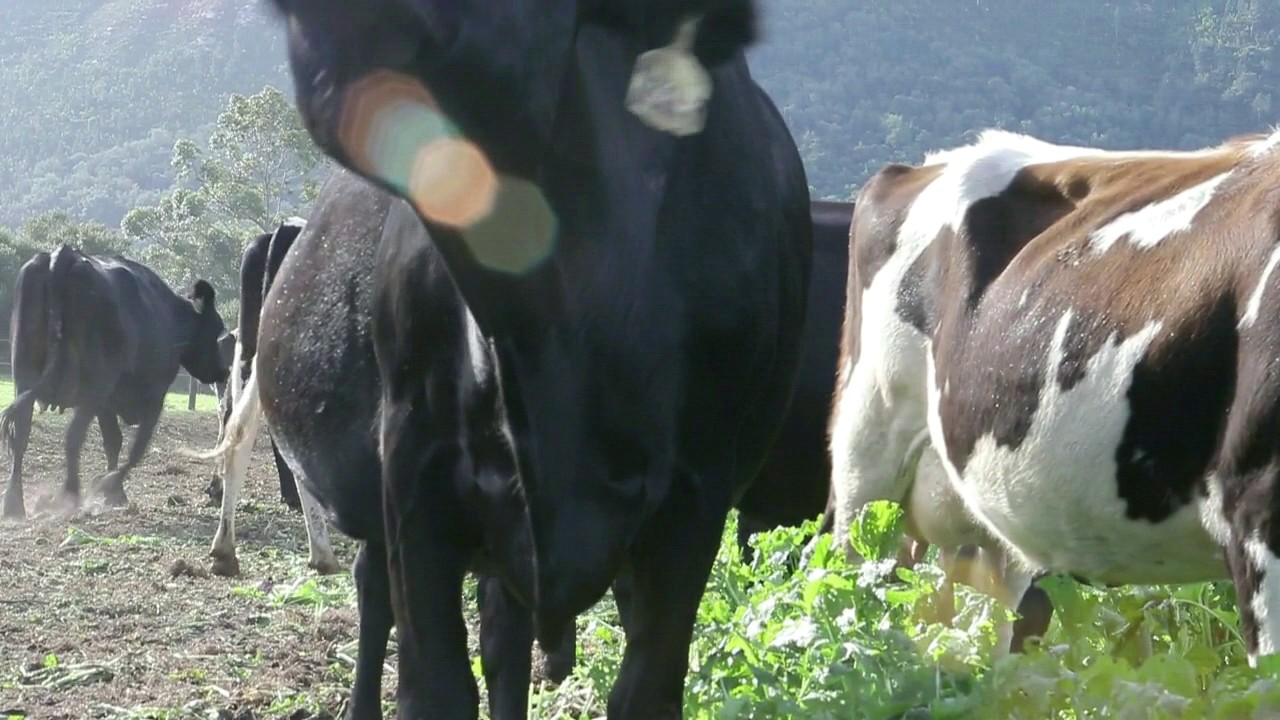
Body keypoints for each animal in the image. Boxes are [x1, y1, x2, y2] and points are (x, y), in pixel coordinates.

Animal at [0, 246, 230, 518]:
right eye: (216, 330)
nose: (223, 371)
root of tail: (64, 255)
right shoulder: (154, 397)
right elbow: (137, 448)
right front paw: (108, 486)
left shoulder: (106, 404)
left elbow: (113, 441)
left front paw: (113, 492)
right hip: (94, 385)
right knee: (72, 437)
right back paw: (68, 494)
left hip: (25, 376)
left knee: (22, 435)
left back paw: (14, 504)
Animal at [266, 1, 812, 717]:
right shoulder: (415, 463)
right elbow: (434, 684)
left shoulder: (697, 492)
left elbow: (642, 688)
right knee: (378, 593)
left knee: (503, 636)